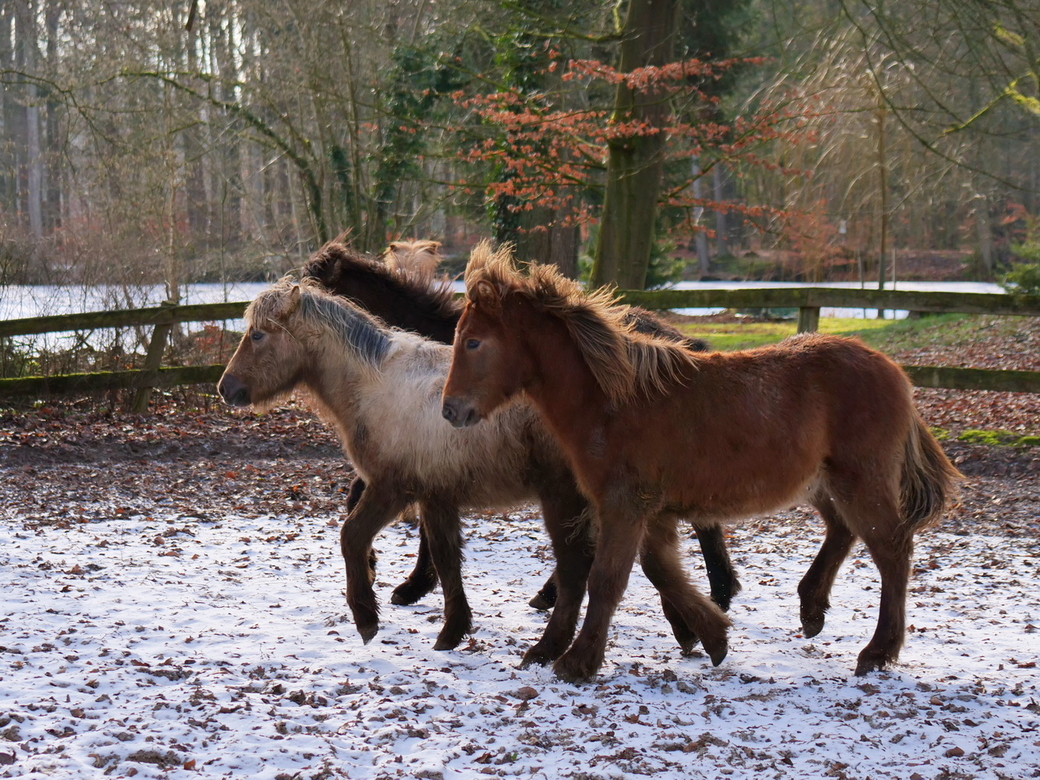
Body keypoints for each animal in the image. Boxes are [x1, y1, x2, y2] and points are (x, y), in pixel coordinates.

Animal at [438, 244, 956, 682]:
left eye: (474, 343)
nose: (450, 411)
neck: (613, 402)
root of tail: (894, 372)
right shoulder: (653, 511)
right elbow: (660, 570)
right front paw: (713, 636)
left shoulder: (624, 504)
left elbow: (607, 579)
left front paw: (578, 662)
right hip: (824, 480)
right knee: (845, 531)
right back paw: (812, 610)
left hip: (860, 479)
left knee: (892, 550)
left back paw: (877, 651)